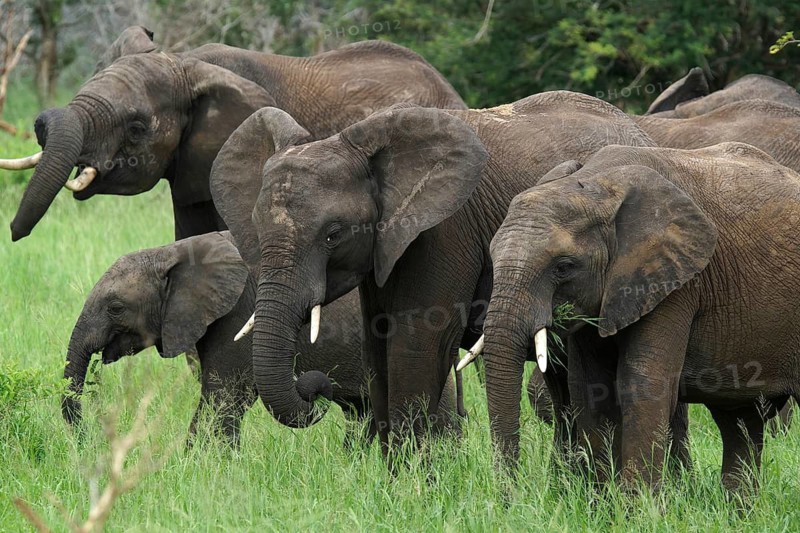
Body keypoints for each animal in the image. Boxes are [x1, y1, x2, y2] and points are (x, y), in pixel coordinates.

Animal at [61, 231, 462, 446]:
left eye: (115, 308)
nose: (88, 441)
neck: (172, 252)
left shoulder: (239, 314)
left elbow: (223, 398)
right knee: (361, 414)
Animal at [207, 91, 675, 460]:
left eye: (333, 234)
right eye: (256, 227)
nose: (313, 388)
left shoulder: (445, 228)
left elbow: (417, 340)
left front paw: (410, 489)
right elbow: (378, 346)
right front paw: (395, 484)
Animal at [481, 141, 800, 489]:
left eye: (564, 267)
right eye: (492, 257)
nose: (511, 493)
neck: (598, 183)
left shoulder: (675, 282)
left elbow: (642, 384)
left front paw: (639, 503)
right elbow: (590, 387)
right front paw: (603, 500)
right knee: (739, 419)